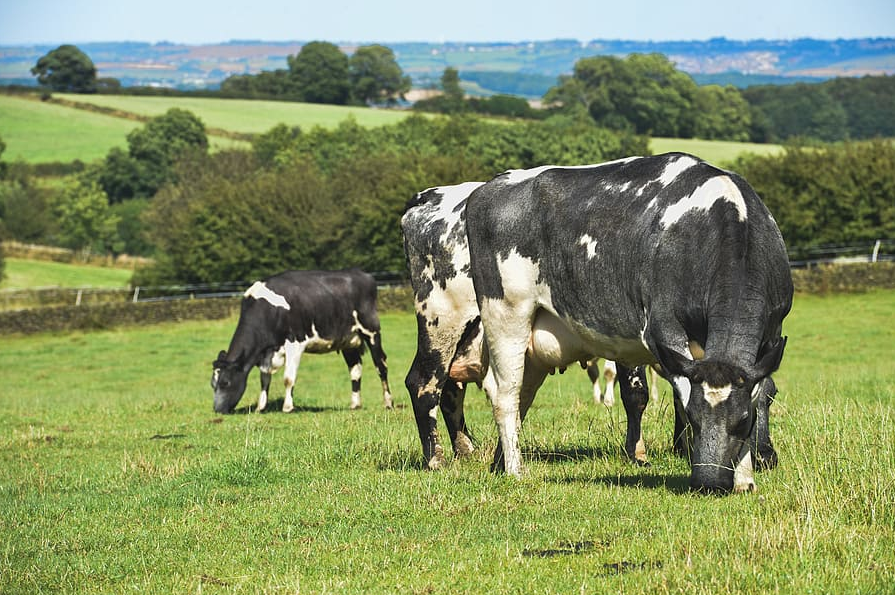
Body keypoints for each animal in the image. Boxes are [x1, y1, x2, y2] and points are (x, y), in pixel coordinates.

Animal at [212, 270, 394, 414]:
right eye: (212, 385)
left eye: (225, 383)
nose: (217, 410)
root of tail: (363, 275)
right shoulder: (267, 353)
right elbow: (264, 379)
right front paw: (260, 407)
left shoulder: (295, 343)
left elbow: (288, 378)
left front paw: (287, 407)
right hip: (348, 341)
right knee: (355, 370)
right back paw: (355, 404)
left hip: (371, 331)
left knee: (381, 366)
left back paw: (388, 403)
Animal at [404, 182, 652, 470]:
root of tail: (428, 196)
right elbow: (636, 393)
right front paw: (637, 454)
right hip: (442, 324)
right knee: (423, 383)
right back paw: (436, 459)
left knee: (451, 390)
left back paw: (465, 449)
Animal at [466, 154, 796, 494]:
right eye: (693, 418)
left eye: (742, 420)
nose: (709, 482)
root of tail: (493, 185)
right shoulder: (662, 329)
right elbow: (680, 391)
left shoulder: (771, 335)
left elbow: (760, 390)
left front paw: (745, 478)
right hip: (506, 314)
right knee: (506, 395)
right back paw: (514, 471)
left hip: (534, 346)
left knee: (523, 394)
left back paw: (499, 463)